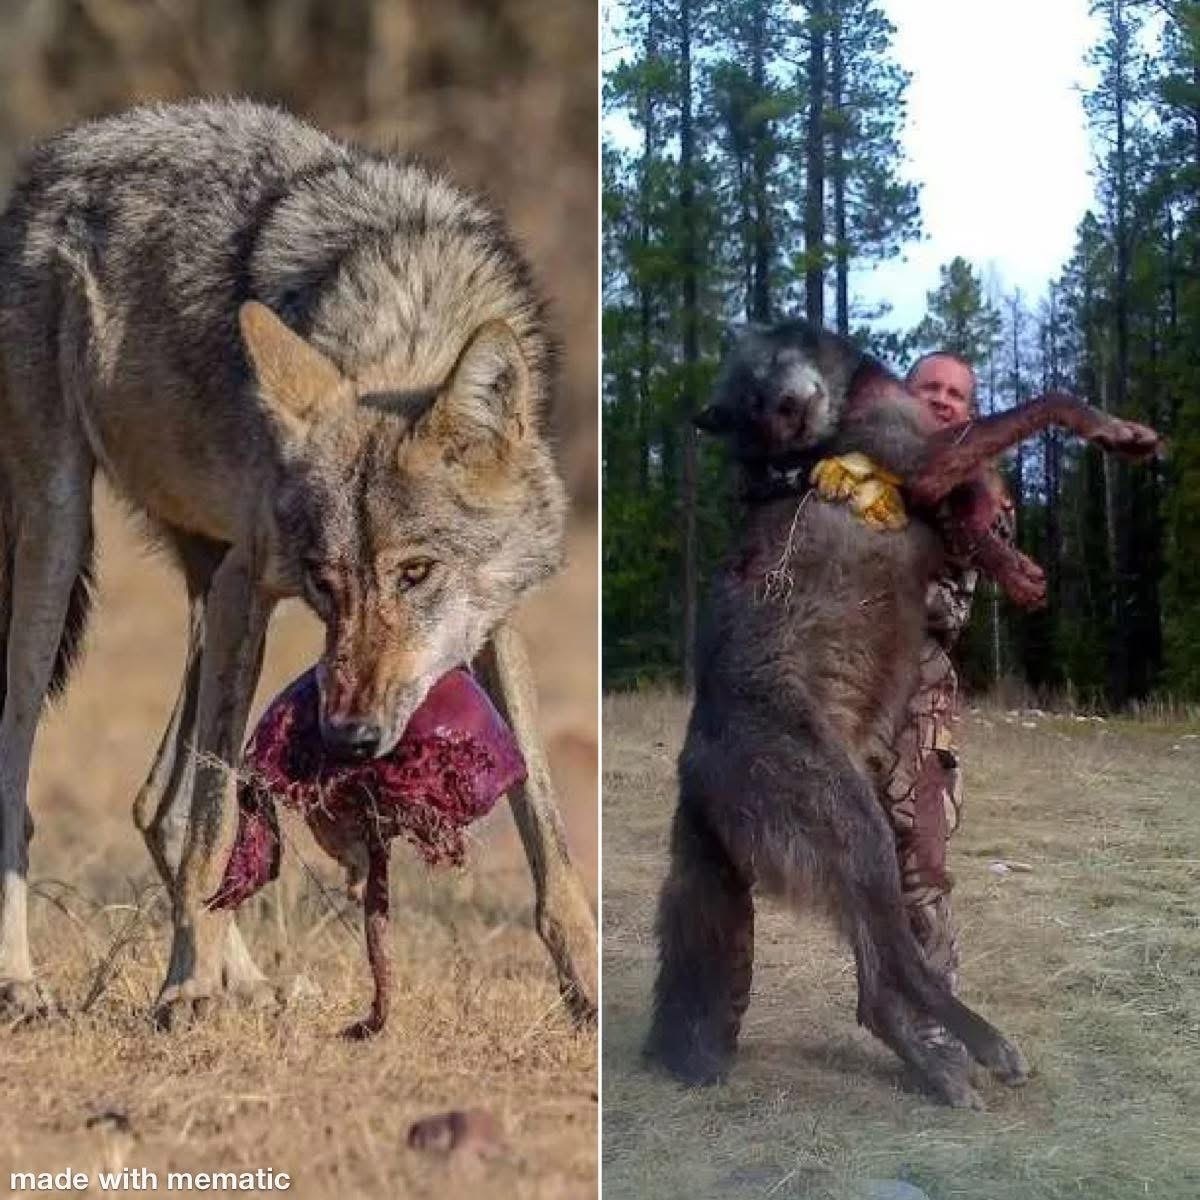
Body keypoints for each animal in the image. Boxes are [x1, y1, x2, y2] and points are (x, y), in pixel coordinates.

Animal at [0, 99, 596, 1027]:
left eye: (416, 574)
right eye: (328, 580)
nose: (349, 737)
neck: (403, 325)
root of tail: (55, 156)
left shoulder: (490, 621)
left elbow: (551, 835)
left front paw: (590, 990)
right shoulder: (254, 584)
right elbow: (215, 827)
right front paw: (183, 986)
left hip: (203, 586)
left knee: (155, 803)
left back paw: (247, 980)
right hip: (64, 542)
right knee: (37, 774)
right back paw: (28, 982)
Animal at [645, 320, 1158, 1107]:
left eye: (761, 381)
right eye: (748, 406)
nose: (786, 418)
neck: (847, 403)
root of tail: (689, 776)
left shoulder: (936, 478)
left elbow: (975, 519)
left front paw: (1015, 568)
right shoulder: (923, 460)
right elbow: (1050, 400)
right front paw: (1117, 431)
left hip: (871, 848)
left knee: (878, 990)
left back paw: (943, 1071)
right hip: (859, 840)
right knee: (902, 971)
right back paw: (991, 1048)